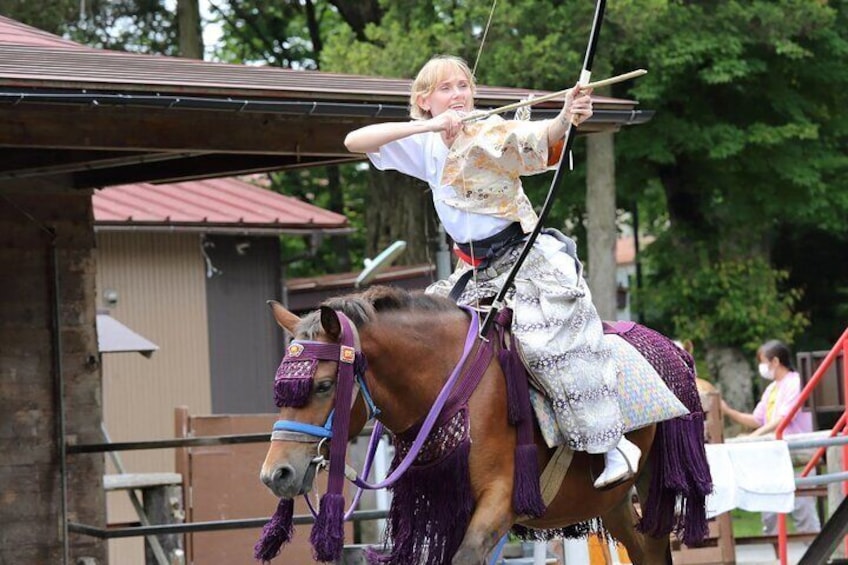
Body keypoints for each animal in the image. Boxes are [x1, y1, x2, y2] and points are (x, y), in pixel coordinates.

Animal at [258, 286, 708, 564]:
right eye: (279, 388)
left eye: (323, 385)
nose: (275, 474)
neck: (450, 387)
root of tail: (672, 348)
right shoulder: (449, 509)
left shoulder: (500, 499)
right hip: (613, 503)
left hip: (657, 485)